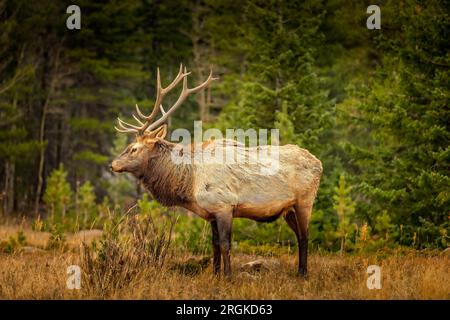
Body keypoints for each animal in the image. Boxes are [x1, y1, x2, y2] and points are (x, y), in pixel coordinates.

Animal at [112, 64, 324, 278]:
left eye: (134, 148)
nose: (112, 164)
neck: (190, 183)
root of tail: (319, 163)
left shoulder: (224, 205)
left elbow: (225, 244)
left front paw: (228, 276)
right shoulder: (211, 212)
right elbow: (214, 245)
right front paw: (215, 274)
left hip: (305, 201)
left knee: (305, 236)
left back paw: (303, 273)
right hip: (288, 209)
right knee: (298, 235)